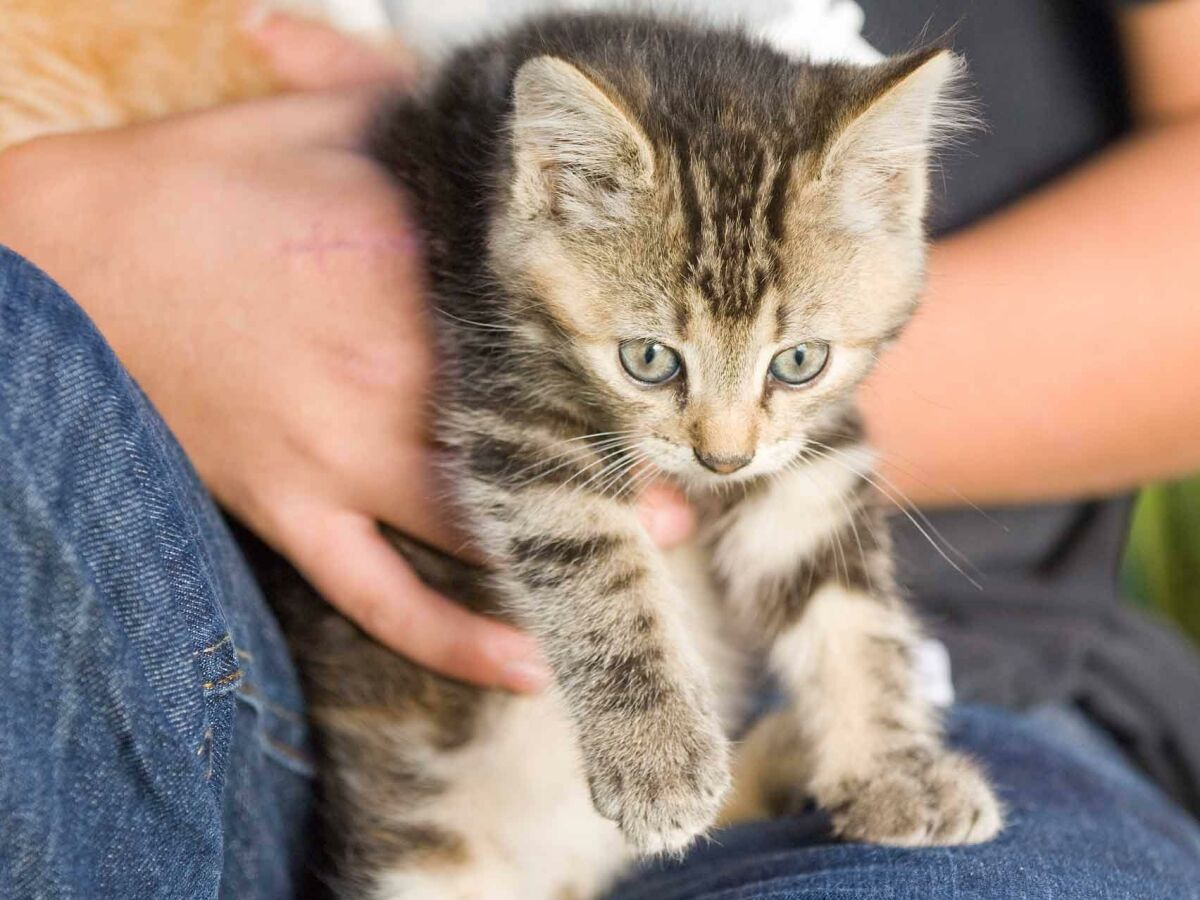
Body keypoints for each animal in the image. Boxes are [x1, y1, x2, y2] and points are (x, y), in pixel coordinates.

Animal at [253, 8, 1003, 900]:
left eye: (798, 361)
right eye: (649, 360)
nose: (722, 460)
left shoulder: (805, 454)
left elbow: (844, 605)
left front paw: (895, 771)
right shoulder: (515, 402)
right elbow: (596, 571)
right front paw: (659, 760)